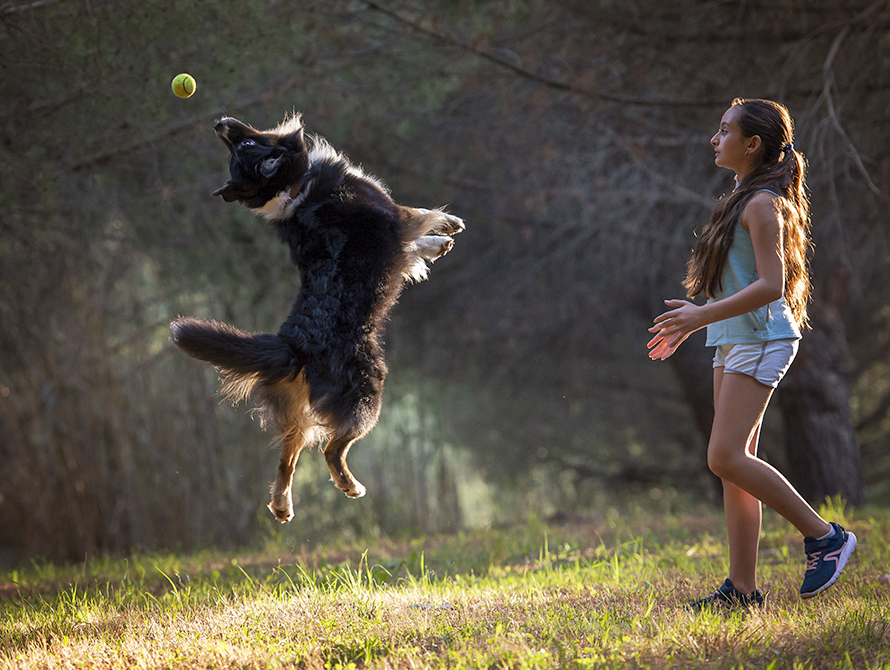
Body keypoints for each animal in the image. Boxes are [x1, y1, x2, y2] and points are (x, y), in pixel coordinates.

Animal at [172, 117, 464, 524]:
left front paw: (437, 245)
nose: (219, 123)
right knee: (332, 449)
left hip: (296, 412)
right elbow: (420, 215)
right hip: (367, 395)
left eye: (241, 146)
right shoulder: (392, 213)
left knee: (287, 460)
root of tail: (294, 345)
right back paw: (350, 486)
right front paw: (448, 227)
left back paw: (282, 505)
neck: (293, 189)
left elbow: (411, 246)